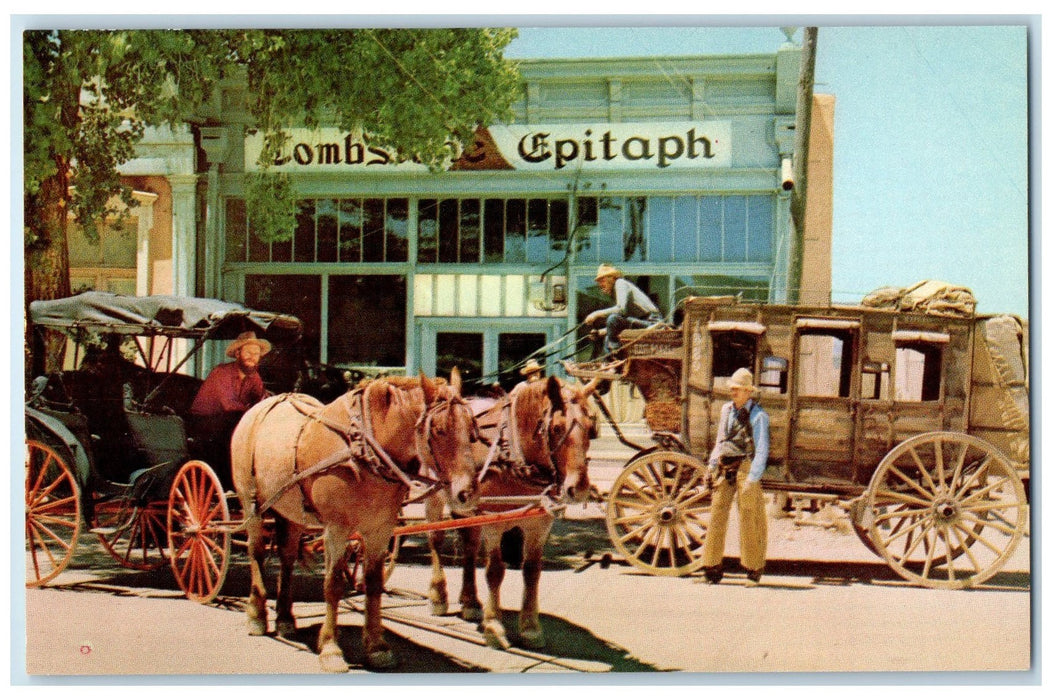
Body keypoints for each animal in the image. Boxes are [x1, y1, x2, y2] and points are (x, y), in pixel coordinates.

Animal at [231, 370, 481, 673]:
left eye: (471, 428)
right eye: (440, 429)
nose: (466, 493)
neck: (363, 447)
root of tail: (262, 406)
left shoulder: (379, 529)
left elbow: (373, 584)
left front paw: (376, 647)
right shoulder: (336, 529)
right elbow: (333, 585)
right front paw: (330, 649)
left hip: (290, 513)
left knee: (287, 557)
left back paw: (285, 618)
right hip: (251, 505)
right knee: (255, 552)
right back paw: (256, 614)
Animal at [422, 376, 597, 648]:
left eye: (591, 428)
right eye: (558, 428)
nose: (578, 489)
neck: (513, 452)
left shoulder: (539, 523)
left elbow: (532, 571)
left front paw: (530, 627)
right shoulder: (494, 521)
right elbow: (495, 571)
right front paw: (494, 626)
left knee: (469, 545)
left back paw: (470, 601)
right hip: (435, 495)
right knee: (436, 540)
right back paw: (438, 596)